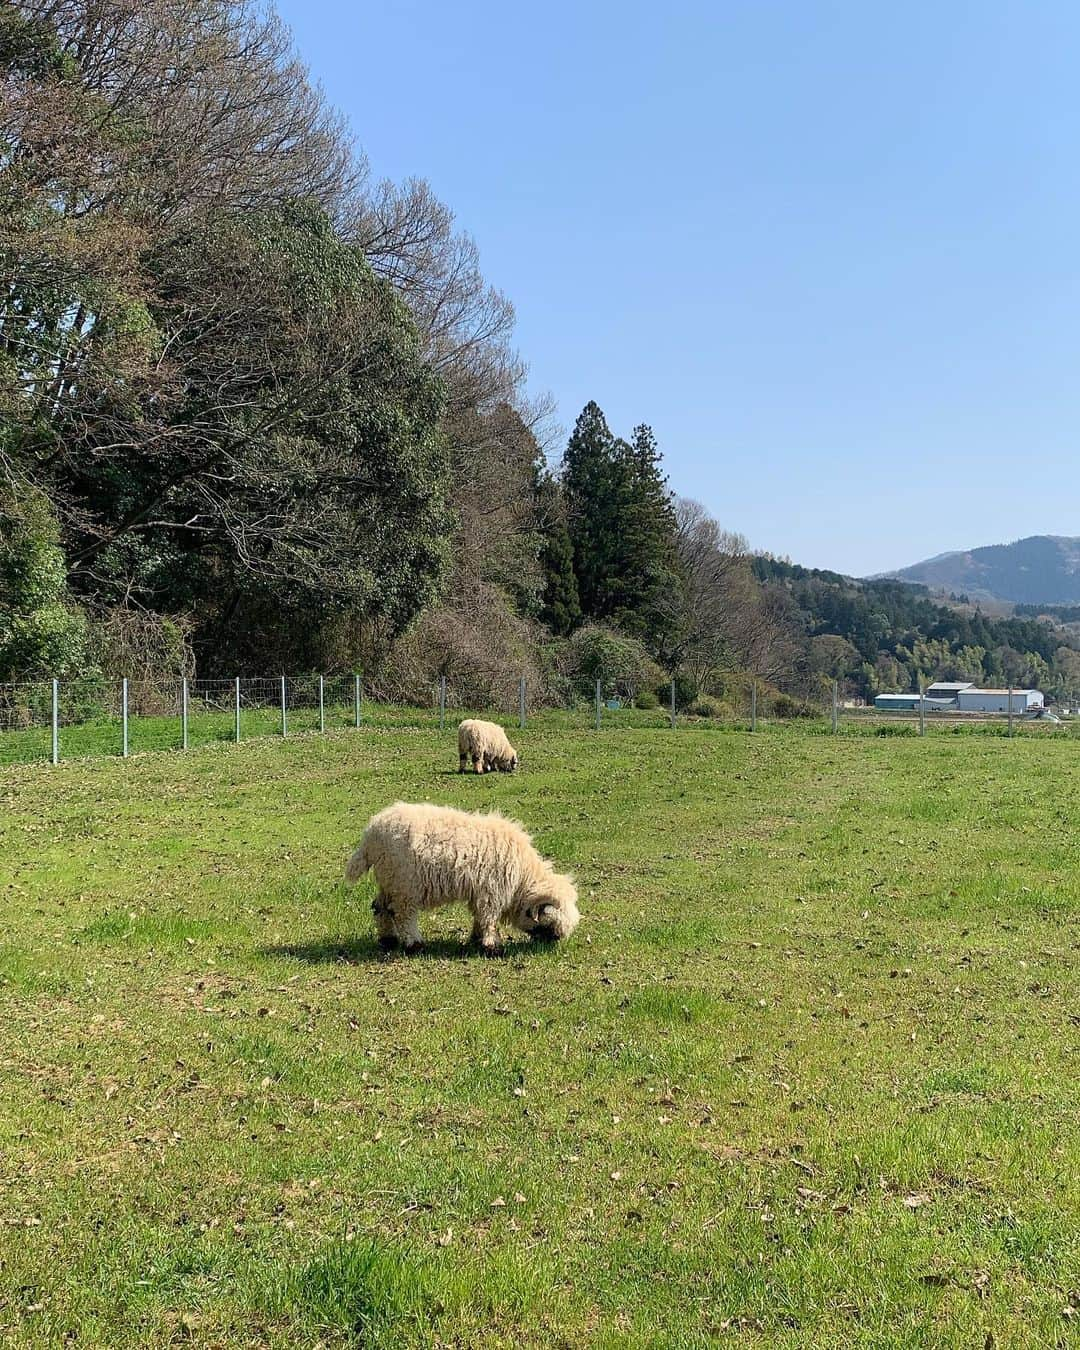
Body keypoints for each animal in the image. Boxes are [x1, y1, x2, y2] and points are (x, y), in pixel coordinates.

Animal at [348, 799, 583, 961]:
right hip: (404, 884)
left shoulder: (481, 893)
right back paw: (414, 944)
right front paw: (492, 947)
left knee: (381, 908)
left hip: (389, 880)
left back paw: (388, 940)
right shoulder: (491, 892)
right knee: (403, 914)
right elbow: (489, 919)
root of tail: (371, 835)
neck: (522, 880)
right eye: (550, 926)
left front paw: (477, 939)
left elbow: (480, 918)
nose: (548, 947)